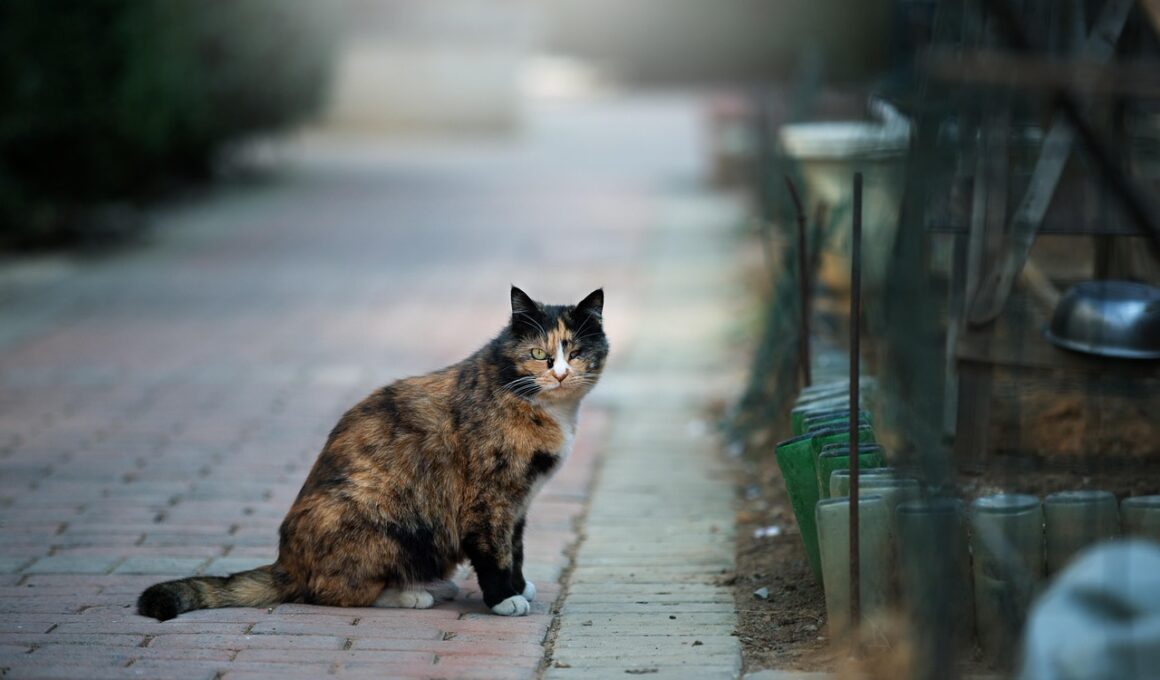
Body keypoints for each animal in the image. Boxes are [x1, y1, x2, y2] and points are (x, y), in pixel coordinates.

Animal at [137, 286, 607, 621]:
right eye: (538, 354)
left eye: (576, 351)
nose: (560, 373)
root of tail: (287, 563)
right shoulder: (488, 498)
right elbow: (495, 550)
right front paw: (503, 598)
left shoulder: (518, 502)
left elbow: (517, 547)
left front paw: (519, 584)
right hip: (392, 519)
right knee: (330, 592)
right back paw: (410, 594)